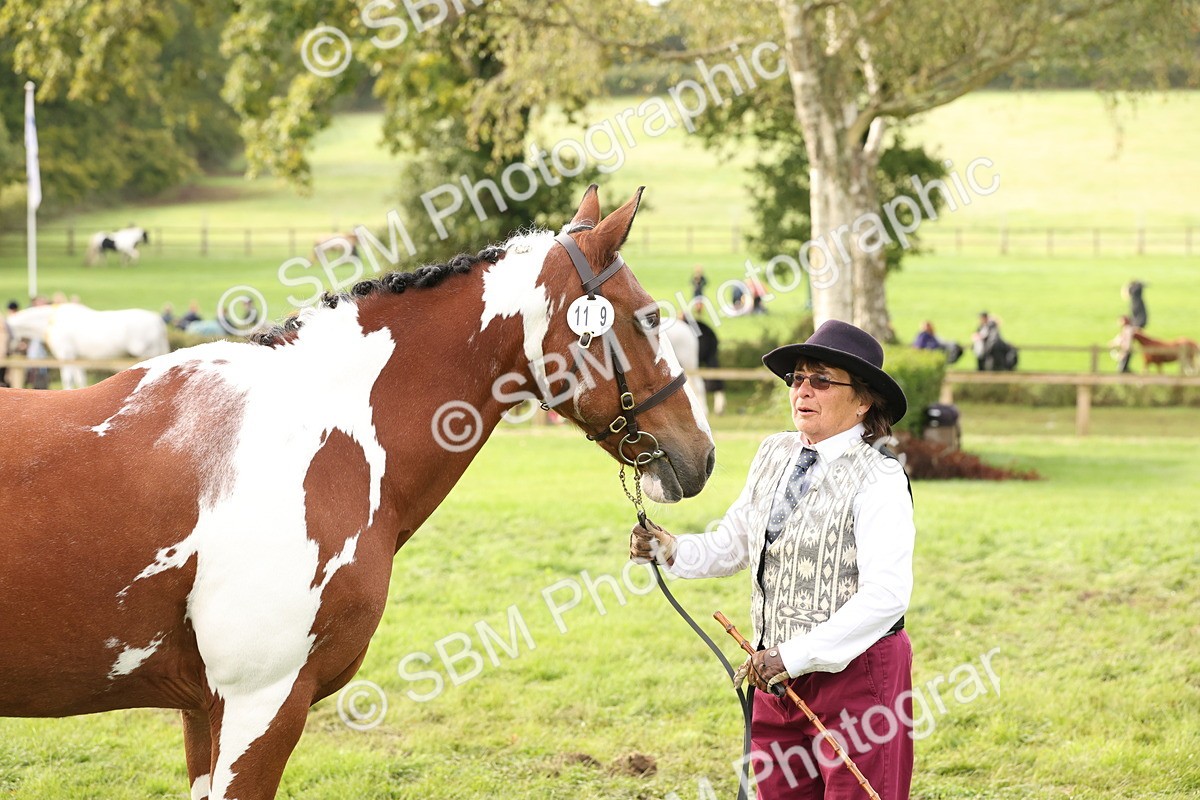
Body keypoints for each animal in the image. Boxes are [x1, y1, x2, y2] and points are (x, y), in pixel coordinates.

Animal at [5, 303, 170, 390]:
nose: (6, 353)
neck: (52, 322)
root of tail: (158, 320)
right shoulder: (78, 359)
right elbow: (80, 380)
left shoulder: (66, 357)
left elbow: (68, 380)